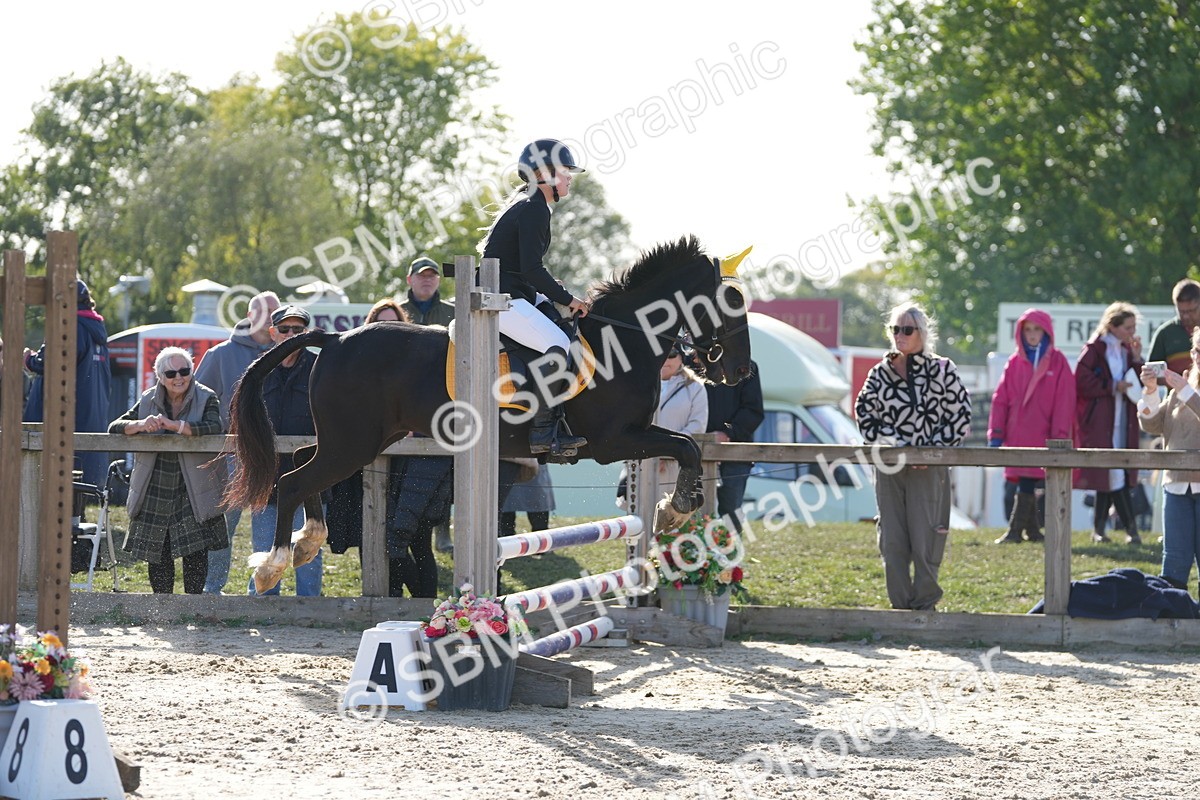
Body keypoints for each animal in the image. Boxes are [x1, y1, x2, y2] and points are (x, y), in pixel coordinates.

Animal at [224, 235, 754, 593]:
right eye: (730, 302)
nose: (740, 371)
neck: (622, 337)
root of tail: (334, 339)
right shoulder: (613, 441)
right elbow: (685, 448)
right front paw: (676, 506)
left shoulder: (636, 433)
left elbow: (684, 446)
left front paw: (669, 506)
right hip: (353, 443)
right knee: (293, 480)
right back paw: (273, 564)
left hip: (358, 439)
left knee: (300, 464)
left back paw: (308, 541)